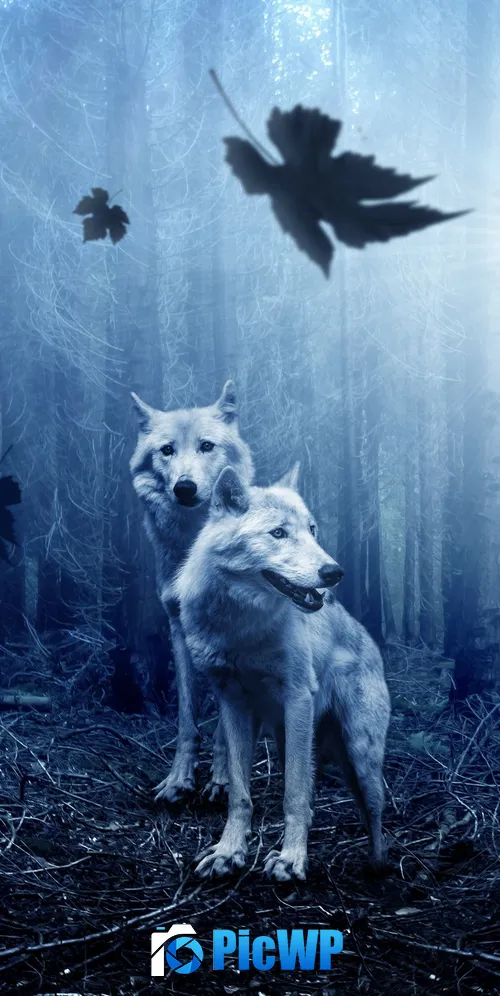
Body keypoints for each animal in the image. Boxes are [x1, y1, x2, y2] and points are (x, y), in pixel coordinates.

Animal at [130, 383, 254, 802]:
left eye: (206, 446)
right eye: (167, 449)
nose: (184, 487)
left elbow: (225, 726)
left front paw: (223, 779)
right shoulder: (178, 629)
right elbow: (187, 717)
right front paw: (178, 780)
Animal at [175, 464, 391, 881]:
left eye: (312, 529)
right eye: (278, 533)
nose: (334, 572)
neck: (240, 628)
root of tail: (370, 640)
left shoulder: (297, 698)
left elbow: (294, 794)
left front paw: (291, 860)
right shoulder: (232, 702)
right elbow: (240, 793)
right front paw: (228, 852)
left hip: (359, 753)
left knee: (374, 810)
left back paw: (377, 866)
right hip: (290, 737)